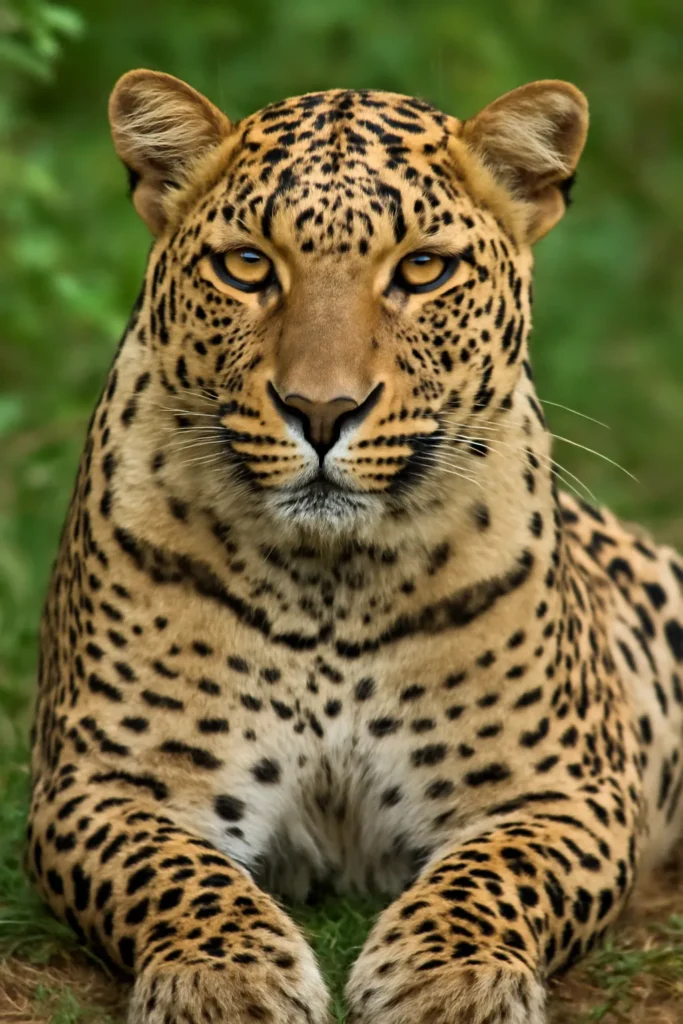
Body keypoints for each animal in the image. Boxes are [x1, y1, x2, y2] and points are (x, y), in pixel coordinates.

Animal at [25, 68, 683, 1024]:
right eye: (246, 265)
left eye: (422, 269)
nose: (322, 410)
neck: (328, 583)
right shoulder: (102, 781)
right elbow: (177, 875)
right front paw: (223, 976)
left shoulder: (564, 786)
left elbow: (493, 873)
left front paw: (452, 977)